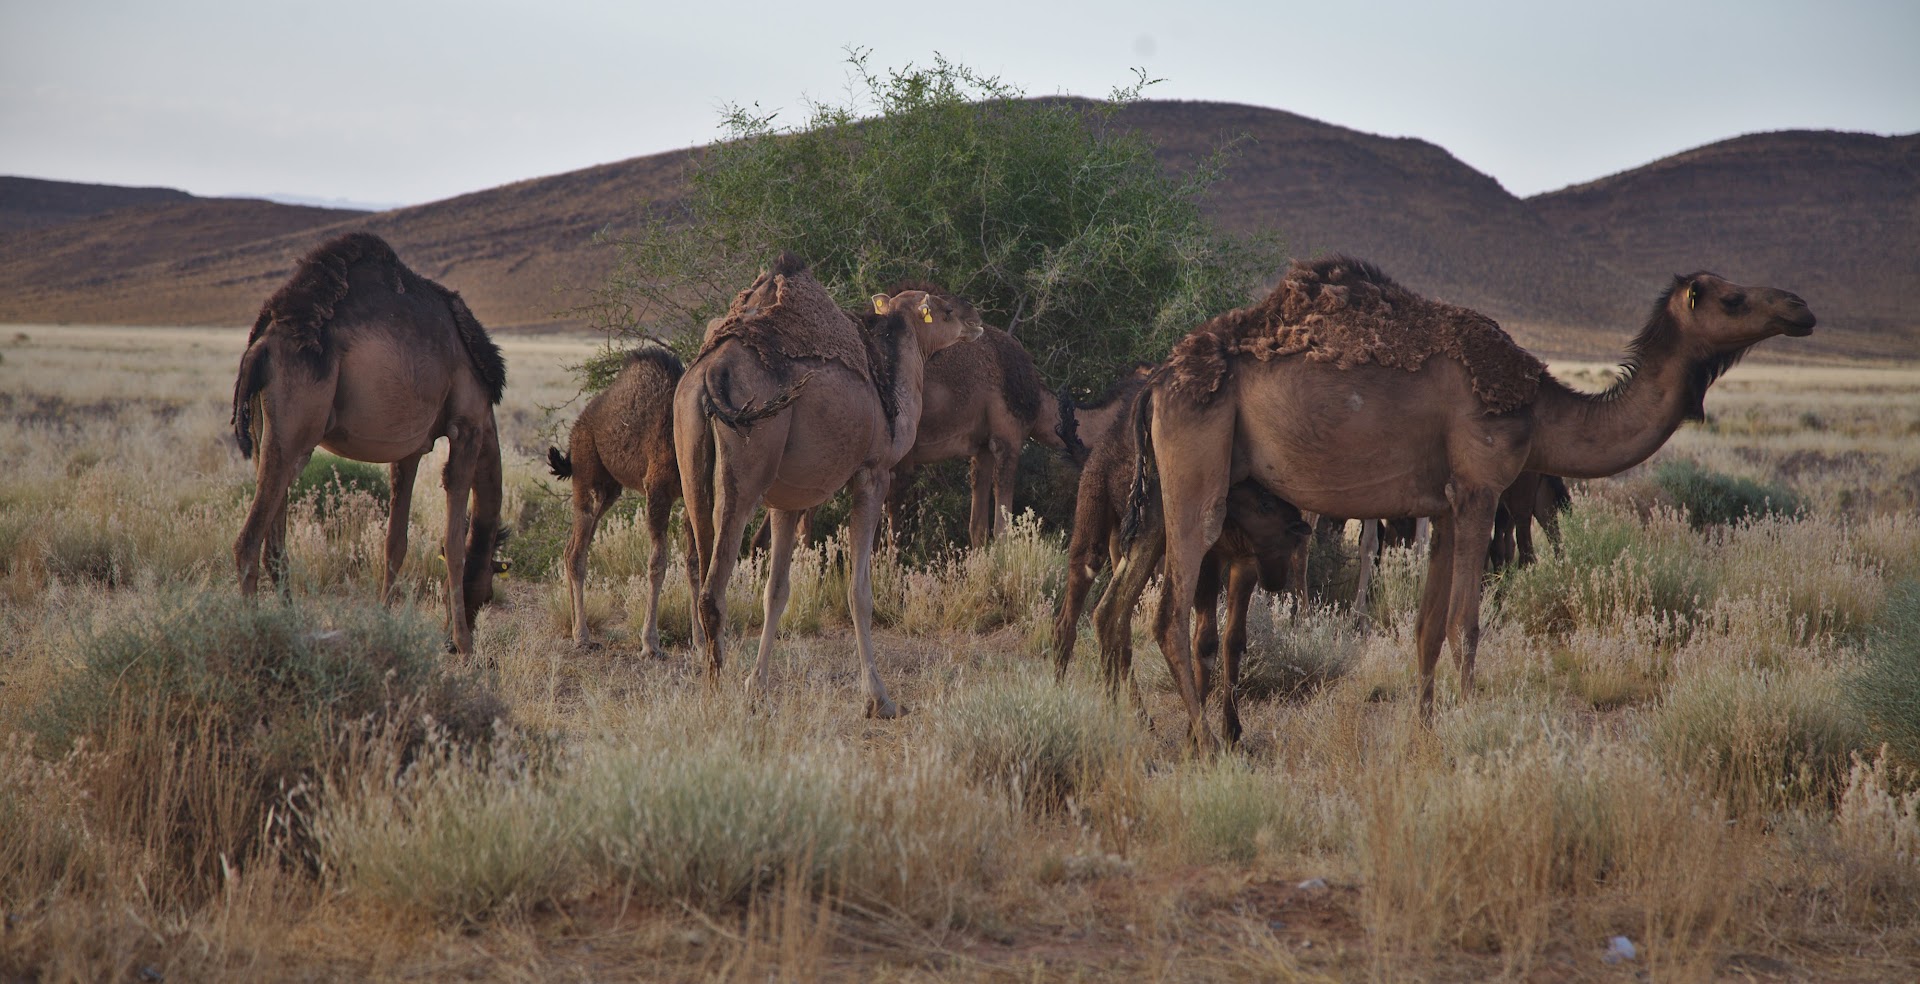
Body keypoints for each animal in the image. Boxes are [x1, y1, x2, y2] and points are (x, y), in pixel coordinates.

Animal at [545, 342, 702, 657]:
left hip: (609, 490)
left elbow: (693, 564)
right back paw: (582, 636)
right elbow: (657, 564)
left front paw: (700, 640)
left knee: (570, 549)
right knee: (577, 553)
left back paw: (576, 629)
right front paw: (650, 643)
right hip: (587, 475)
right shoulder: (657, 489)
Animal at [675, 253, 983, 714]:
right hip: (743, 473)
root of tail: (712, 372)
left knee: (699, 556)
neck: (889, 387)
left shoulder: (785, 499)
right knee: (715, 587)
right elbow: (860, 592)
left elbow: (776, 591)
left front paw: (757, 687)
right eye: (944, 309)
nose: (975, 317)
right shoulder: (872, 473)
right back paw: (715, 694)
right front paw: (879, 698)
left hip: (691, 455)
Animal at [1136, 257, 1812, 741]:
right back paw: (1204, 738)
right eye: (1731, 298)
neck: (1539, 407)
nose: (1801, 306)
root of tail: (1158, 378)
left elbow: (1427, 628)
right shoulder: (1480, 490)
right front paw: (1464, 729)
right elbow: (1467, 624)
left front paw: (1425, 732)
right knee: (1168, 609)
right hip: (1197, 458)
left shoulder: (1441, 506)